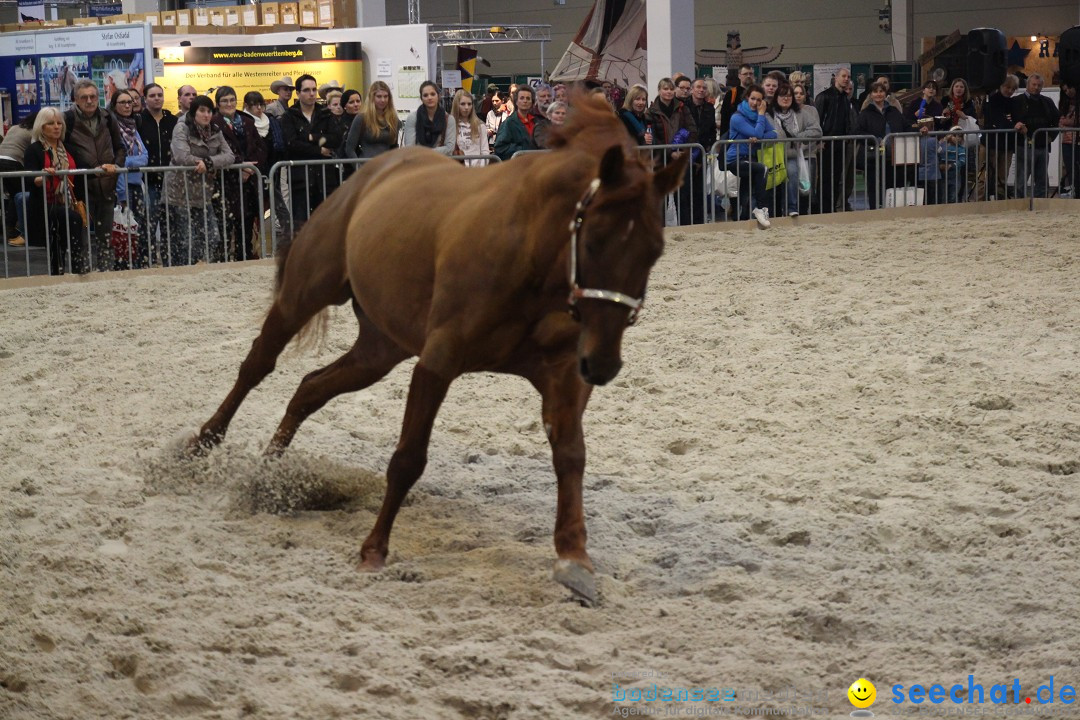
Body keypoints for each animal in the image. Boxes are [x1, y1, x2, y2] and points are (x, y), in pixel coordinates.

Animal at [186, 95, 686, 604]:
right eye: (594, 238)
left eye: (655, 250)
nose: (603, 364)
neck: (532, 251)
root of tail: (369, 174)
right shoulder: (437, 363)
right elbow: (408, 459)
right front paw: (374, 550)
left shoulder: (563, 376)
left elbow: (571, 457)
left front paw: (574, 558)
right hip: (304, 296)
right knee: (257, 365)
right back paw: (201, 444)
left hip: (379, 350)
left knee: (309, 389)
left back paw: (268, 475)